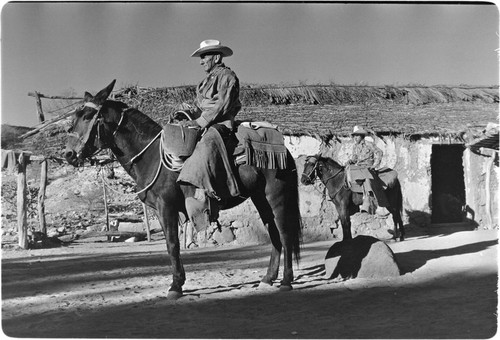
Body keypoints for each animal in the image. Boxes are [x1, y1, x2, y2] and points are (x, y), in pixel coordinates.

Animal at [64, 79, 302, 298]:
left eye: (88, 117)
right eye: (75, 117)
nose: (68, 154)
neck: (151, 156)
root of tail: (285, 151)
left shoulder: (166, 207)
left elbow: (172, 244)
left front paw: (176, 286)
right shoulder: (162, 210)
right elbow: (172, 244)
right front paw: (179, 282)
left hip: (276, 196)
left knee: (284, 234)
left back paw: (286, 281)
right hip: (260, 198)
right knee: (274, 233)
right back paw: (268, 279)